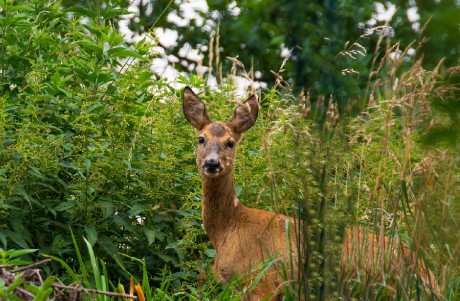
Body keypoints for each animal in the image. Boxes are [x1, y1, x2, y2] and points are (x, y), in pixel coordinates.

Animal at [182, 85, 438, 298]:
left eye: (230, 142)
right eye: (201, 139)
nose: (212, 163)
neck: (227, 231)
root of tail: (428, 274)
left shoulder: (265, 282)